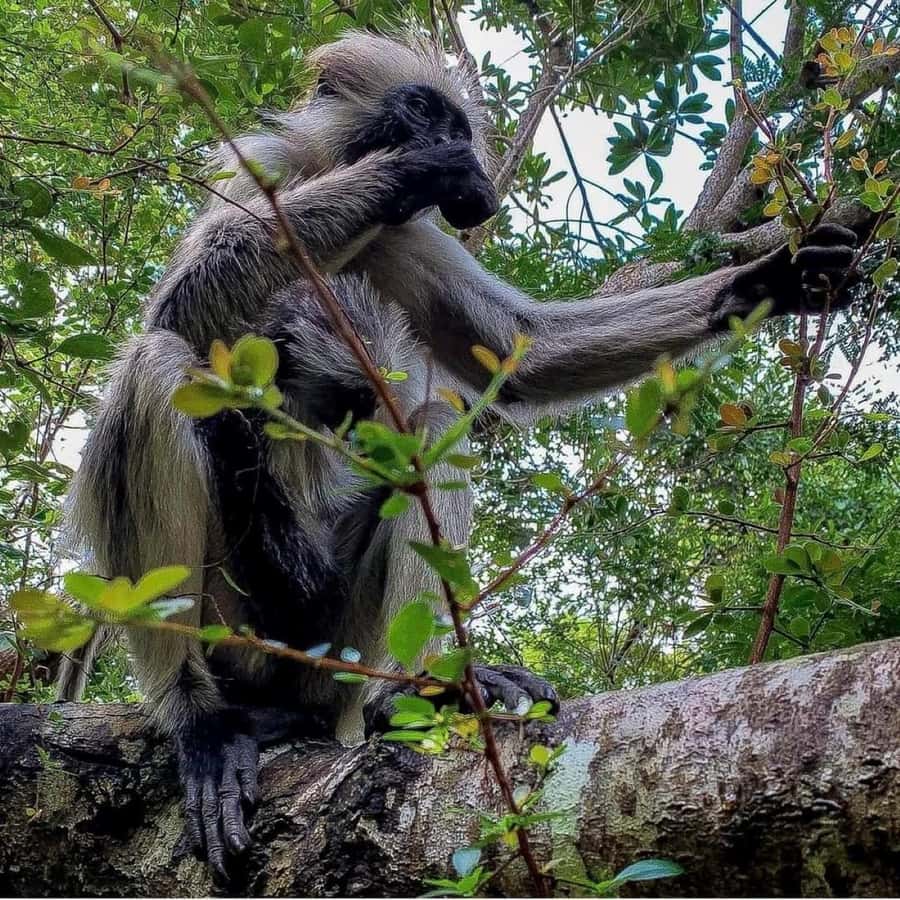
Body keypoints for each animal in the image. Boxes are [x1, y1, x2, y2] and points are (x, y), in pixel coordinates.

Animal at [58, 31, 860, 879]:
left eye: (450, 118)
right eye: (419, 111)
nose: (447, 141)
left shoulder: (404, 233)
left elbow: (520, 349)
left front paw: (762, 283)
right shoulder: (271, 173)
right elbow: (179, 313)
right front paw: (411, 171)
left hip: (337, 645)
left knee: (431, 421)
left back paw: (415, 689)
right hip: (233, 623)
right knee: (156, 363)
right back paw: (201, 720)